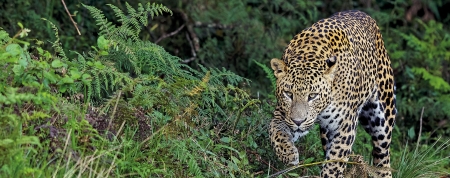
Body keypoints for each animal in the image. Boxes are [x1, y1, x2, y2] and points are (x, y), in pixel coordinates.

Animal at [268, 10, 396, 177]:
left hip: (382, 117)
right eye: (289, 94)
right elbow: (275, 131)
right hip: (326, 133)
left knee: (383, 154)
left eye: (312, 95)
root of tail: (362, 13)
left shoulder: (345, 126)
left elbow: (334, 163)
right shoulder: (283, 114)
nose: (298, 122)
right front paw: (288, 154)